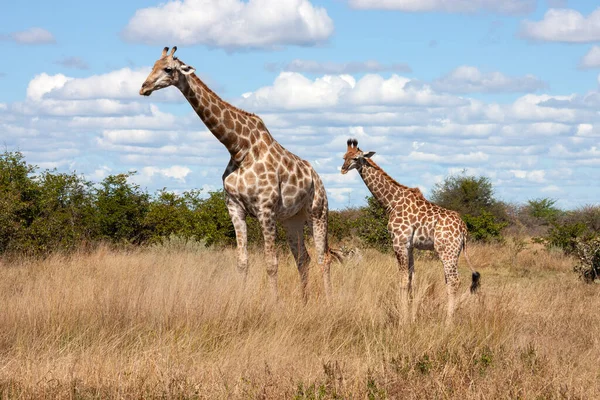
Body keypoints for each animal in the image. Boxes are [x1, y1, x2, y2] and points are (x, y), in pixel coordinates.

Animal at [139, 47, 338, 302]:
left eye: (168, 69)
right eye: (152, 65)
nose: (144, 87)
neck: (239, 149)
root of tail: (317, 178)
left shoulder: (265, 209)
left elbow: (271, 263)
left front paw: (274, 303)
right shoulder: (234, 208)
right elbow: (242, 262)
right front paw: (241, 301)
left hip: (318, 212)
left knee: (324, 258)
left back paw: (329, 300)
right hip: (291, 219)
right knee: (303, 258)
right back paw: (304, 301)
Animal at [340, 138, 480, 318]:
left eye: (356, 158)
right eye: (344, 156)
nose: (343, 169)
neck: (391, 203)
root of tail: (463, 228)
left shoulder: (398, 243)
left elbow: (403, 279)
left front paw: (403, 317)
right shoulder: (410, 246)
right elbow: (412, 278)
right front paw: (412, 315)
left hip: (446, 251)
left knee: (454, 280)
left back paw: (448, 320)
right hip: (453, 253)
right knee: (451, 280)